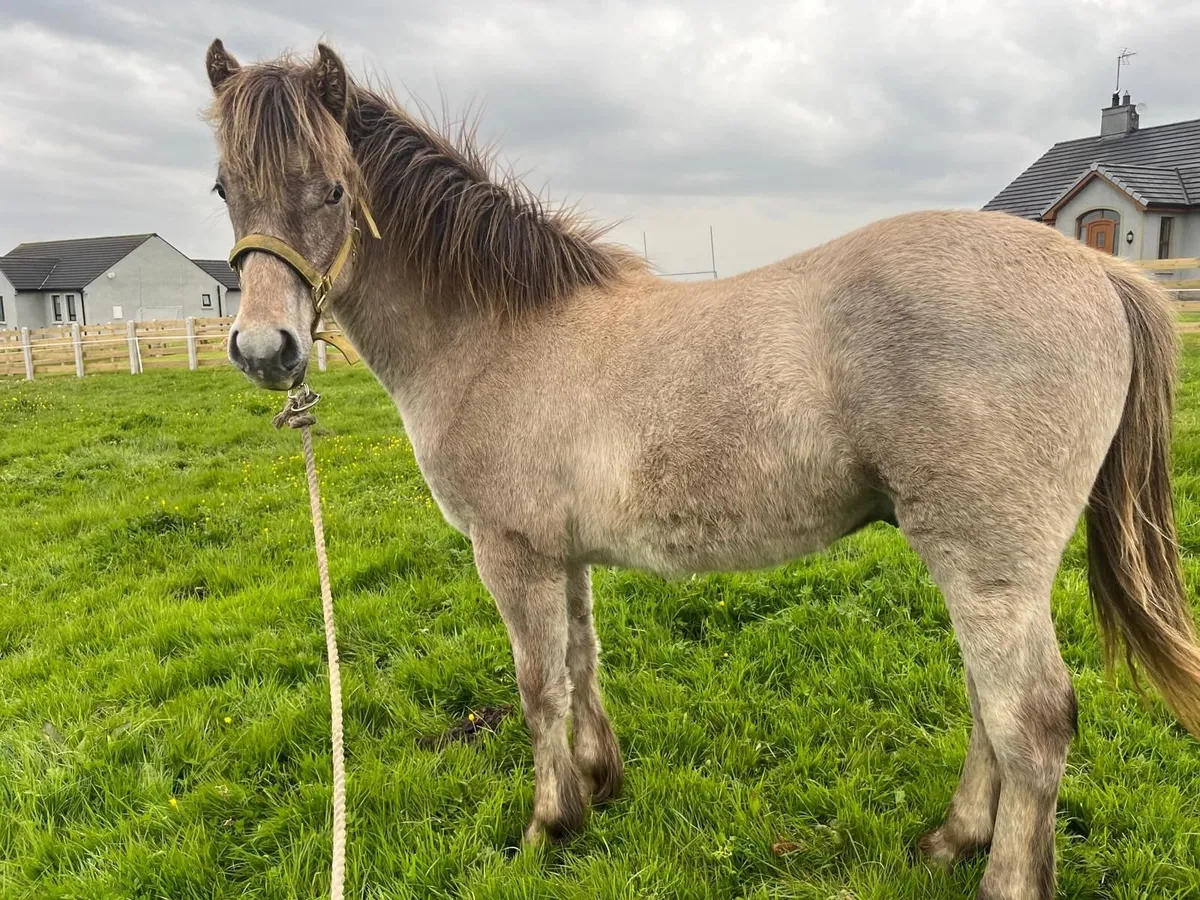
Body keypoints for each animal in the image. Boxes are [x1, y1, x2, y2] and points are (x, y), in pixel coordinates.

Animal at [202, 39, 1200, 900]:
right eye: (223, 187)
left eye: (333, 188)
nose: (263, 348)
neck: (498, 332)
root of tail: (1099, 272)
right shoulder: (563, 557)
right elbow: (582, 661)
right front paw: (599, 783)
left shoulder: (510, 554)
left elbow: (537, 685)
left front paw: (547, 825)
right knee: (988, 703)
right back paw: (952, 840)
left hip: (988, 565)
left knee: (1030, 719)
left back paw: (998, 875)